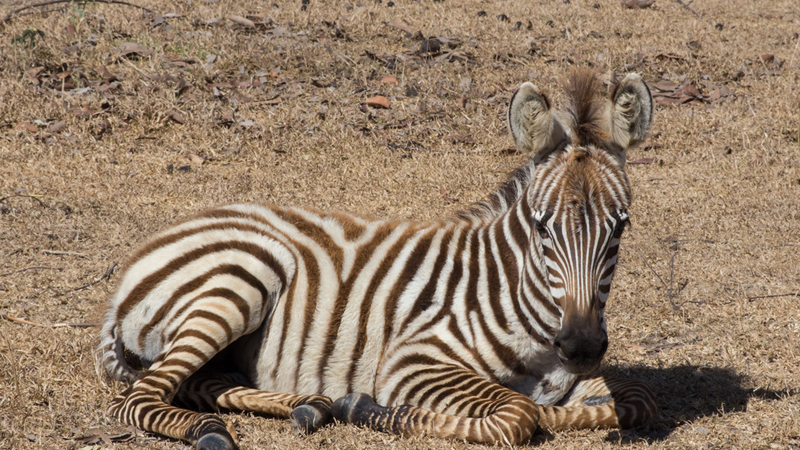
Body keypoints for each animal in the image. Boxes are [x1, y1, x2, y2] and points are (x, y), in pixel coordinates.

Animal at [100, 68, 656, 448]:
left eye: (621, 226)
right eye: (542, 227)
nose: (581, 347)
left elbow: (635, 401)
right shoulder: (411, 361)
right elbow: (517, 415)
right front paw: (369, 408)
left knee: (197, 383)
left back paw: (307, 406)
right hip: (238, 283)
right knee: (140, 398)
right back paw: (212, 431)